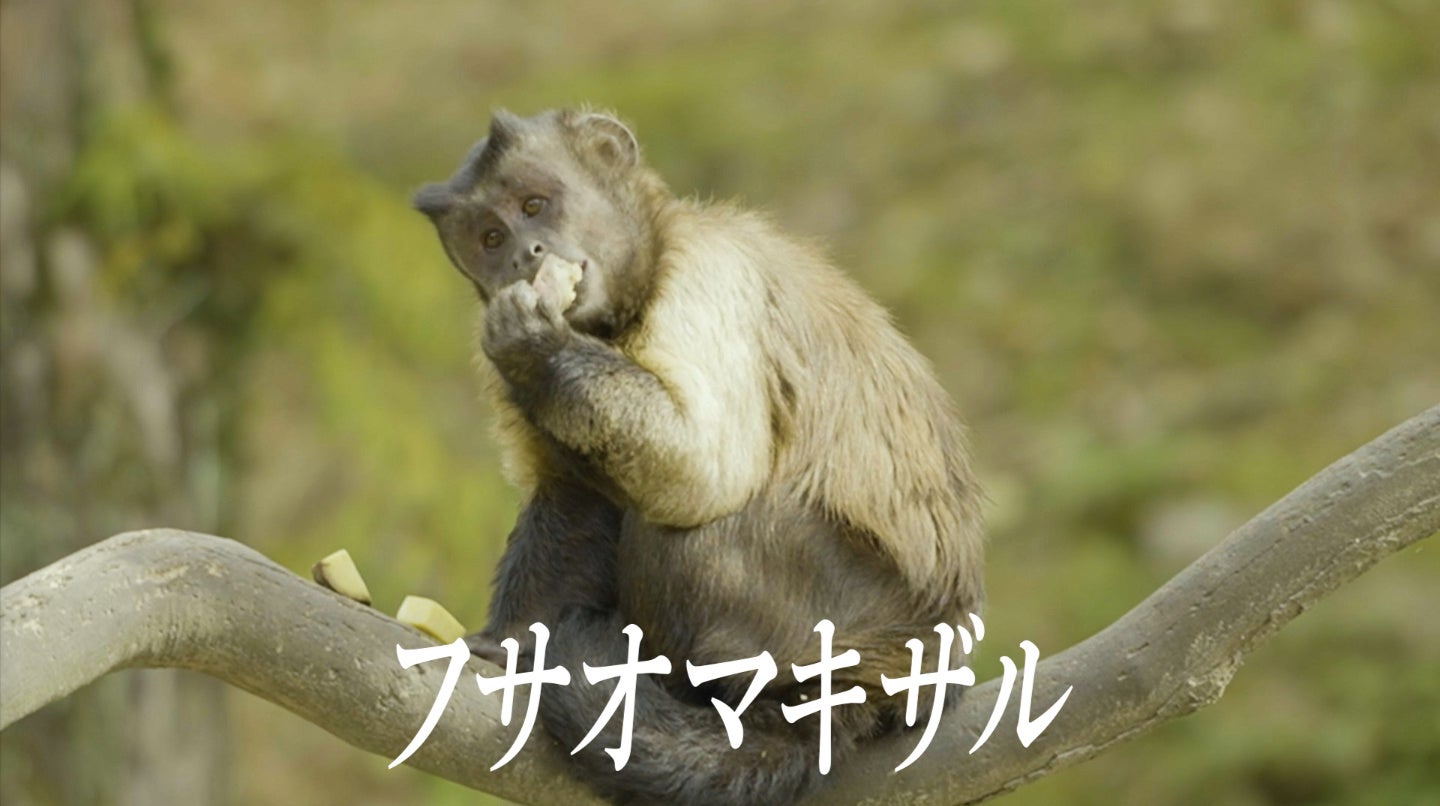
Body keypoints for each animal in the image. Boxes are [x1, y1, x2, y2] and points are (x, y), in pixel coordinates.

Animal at [412, 108, 984, 806]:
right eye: (490, 238)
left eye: (534, 205)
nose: (526, 254)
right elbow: (573, 497)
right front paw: (508, 644)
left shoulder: (707, 274)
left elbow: (704, 473)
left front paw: (535, 344)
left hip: (840, 625)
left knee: (693, 529)